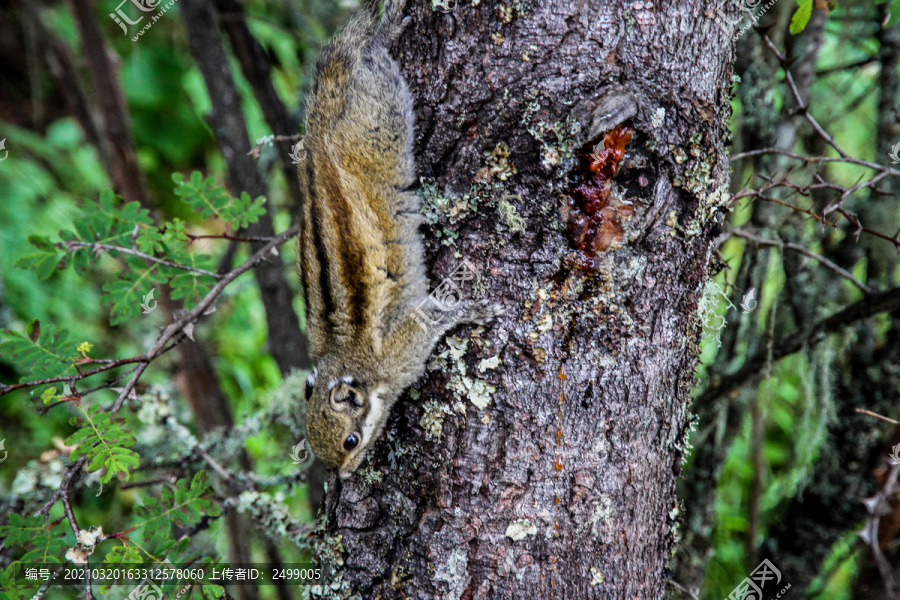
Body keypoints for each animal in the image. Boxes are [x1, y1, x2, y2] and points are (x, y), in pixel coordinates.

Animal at [298, 0, 500, 478]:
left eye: (351, 441)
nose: (345, 475)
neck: (345, 360)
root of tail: (317, 133)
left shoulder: (402, 349)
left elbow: (433, 318)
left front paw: (471, 310)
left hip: (383, 120)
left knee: (369, 60)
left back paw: (384, 34)